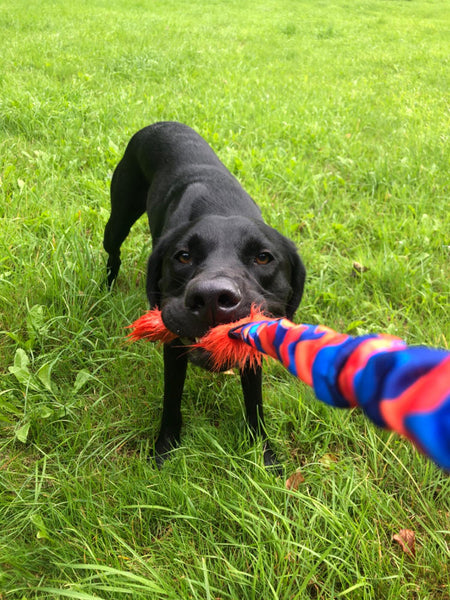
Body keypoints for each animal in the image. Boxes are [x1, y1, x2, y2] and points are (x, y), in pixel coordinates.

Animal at [103, 123, 306, 468]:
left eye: (263, 257)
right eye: (183, 256)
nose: (212, 298)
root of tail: (160, 124)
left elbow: (255, 403)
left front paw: (264, 455)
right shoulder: (173, 343)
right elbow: (172, 400)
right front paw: (164, 451)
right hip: (118, 219)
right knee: (113, 253)